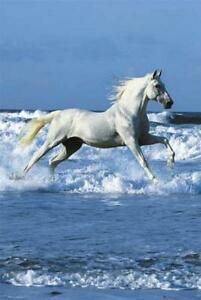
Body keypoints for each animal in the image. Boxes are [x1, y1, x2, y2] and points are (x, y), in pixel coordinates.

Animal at [19, 70, 175, 182]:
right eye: (157, 86)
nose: (169, 103)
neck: (129, 112)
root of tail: (58, 114)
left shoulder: (143, 138)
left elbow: (164, 139)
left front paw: (171, 163)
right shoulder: (131, 141)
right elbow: (143, 161)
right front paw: (156, 181)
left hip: (72, 146)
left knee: (53, 161)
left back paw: (50, 182)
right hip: (53, 140)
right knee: (35, 157)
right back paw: (20, 178)